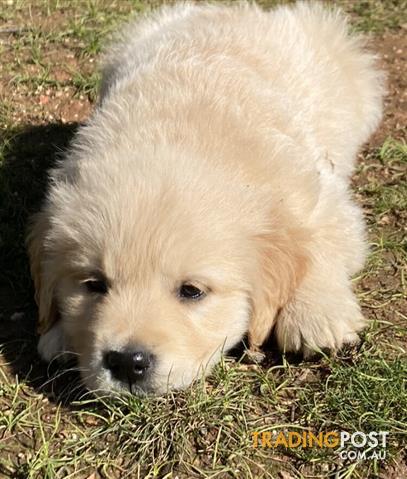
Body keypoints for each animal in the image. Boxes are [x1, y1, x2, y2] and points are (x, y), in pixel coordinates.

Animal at [26, 1, 386, 396]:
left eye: (192, 291)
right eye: (93, 284)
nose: (126, 362)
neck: (178, 139)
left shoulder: (322, 200)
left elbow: (319, 243)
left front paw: (316, 315)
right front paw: (60, 333)